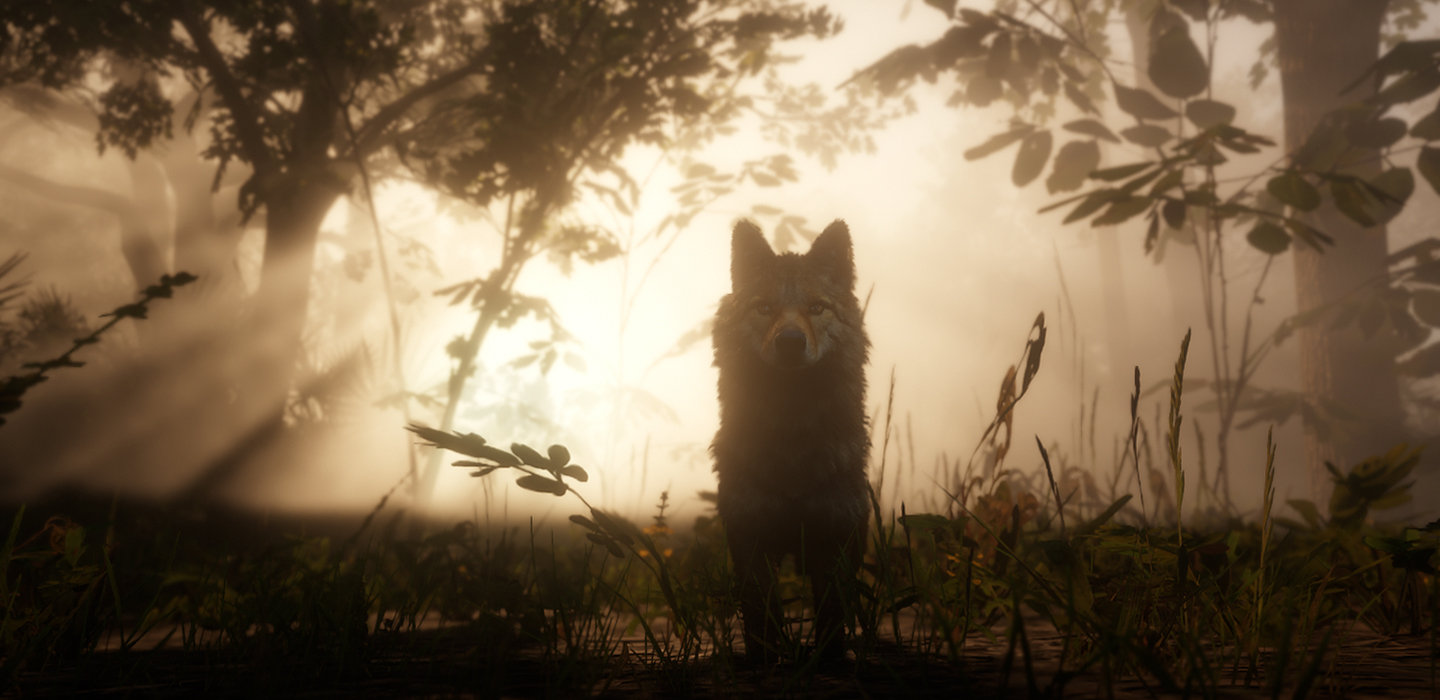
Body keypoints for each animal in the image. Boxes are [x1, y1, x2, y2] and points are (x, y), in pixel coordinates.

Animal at [711, 219, 870, 663]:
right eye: (764, 308)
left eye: (816, 308)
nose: (790, 342)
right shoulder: (750, 539)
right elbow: (760, 617)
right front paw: (764, 660)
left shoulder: (835, 538)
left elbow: (833, 613)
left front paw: (832, 661)